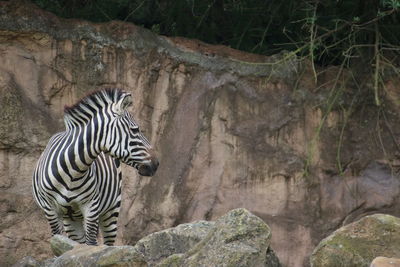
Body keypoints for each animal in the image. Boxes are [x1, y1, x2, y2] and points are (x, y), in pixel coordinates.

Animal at [32, 88, 159, 247]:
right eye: (135, 130)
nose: (156, 164)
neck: (72, 172)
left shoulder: (91, 207)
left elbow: (91, 244)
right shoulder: (50, 209)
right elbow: (58, 242)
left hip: (111, 211)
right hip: (71, 220)